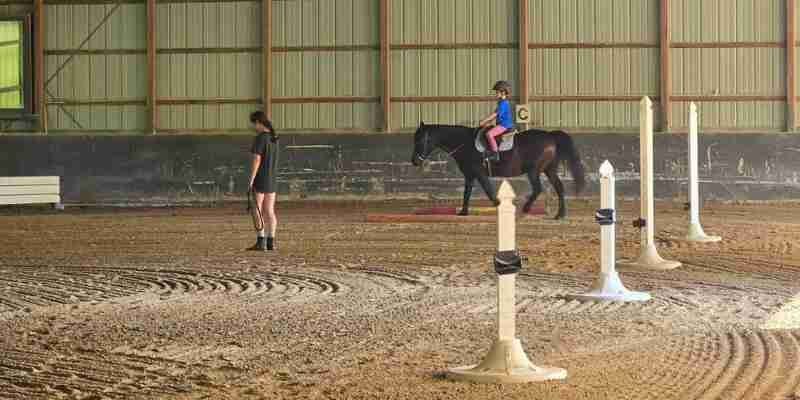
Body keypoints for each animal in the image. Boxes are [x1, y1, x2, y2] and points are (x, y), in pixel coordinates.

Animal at [410, 122, 586, 219]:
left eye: (420, 140)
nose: (414, 161)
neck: (464, 143)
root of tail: (550, 136)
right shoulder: (470, 174)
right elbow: (467, 192)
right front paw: (463, 212)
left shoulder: (479, 172)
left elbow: (488, 190)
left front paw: (498, 204)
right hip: (549, 169)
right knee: (559, 188)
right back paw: (560, 215)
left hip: (534, 170)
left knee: (537, 189)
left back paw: (526, 209)